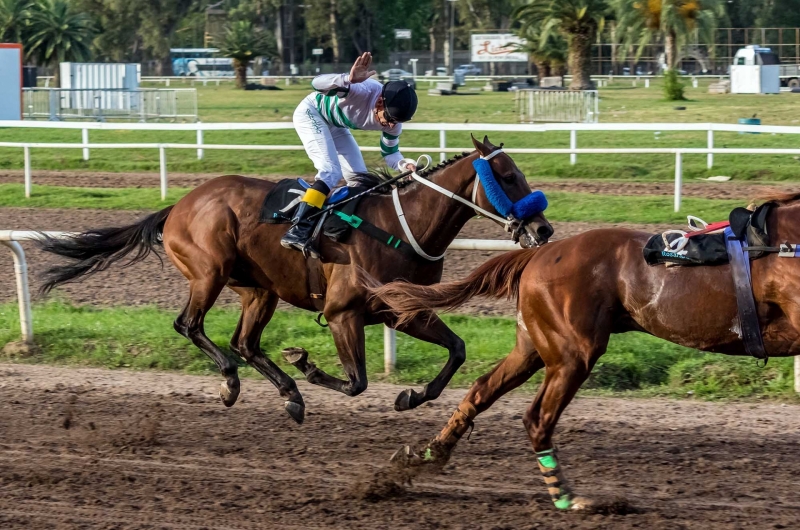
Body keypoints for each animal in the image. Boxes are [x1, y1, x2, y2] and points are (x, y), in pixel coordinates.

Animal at [37, 137, 552, 424]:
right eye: (507, 176)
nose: (544, 230)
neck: (404, 225)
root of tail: (179, 204)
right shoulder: (342, 312)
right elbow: (356, 382)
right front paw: (307, 364)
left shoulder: (401, 310)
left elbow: (457, 350)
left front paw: (412, 395)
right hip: (209, 272)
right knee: (191, 325)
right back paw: (232, 382)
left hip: (258, 289)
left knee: (244, 342)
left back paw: (288, 395)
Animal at [370, 193, 800, 508]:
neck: (786, 244)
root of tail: (538, 253)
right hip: (572, 353)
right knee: (538, 418)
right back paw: (567, 497)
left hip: (533, 346)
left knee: (480, 391)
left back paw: (424, 457)